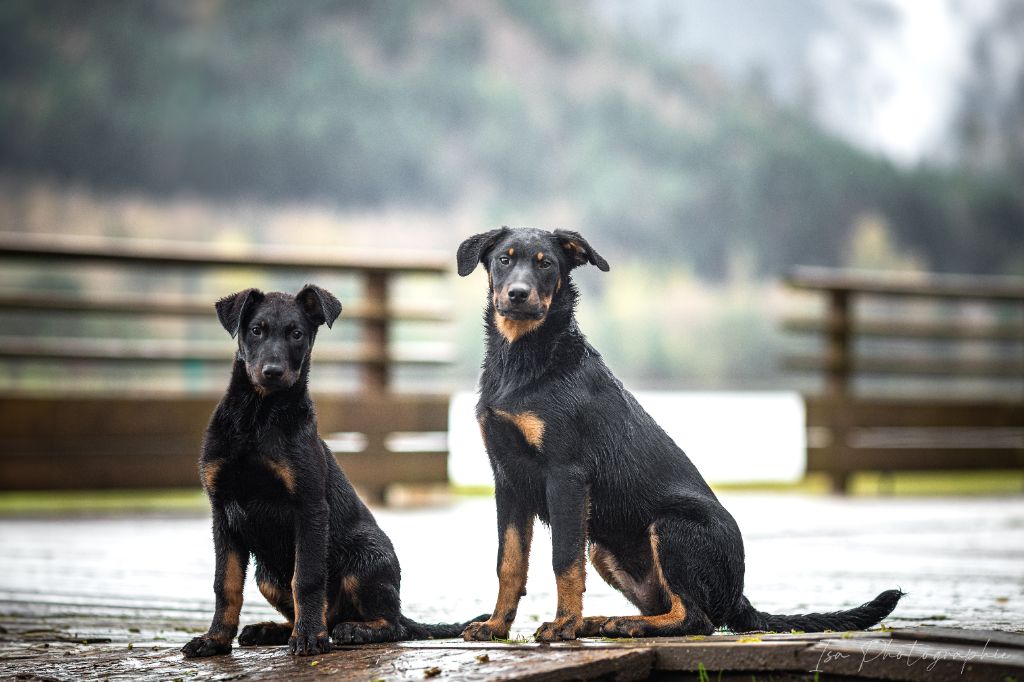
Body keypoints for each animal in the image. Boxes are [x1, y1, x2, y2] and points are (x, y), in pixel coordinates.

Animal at [183, 280, 479, 655]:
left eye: (296, 334)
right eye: (256, 330)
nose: (272, 373)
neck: (258, 416)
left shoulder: (309, 507)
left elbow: (307, 579)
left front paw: (310, 638)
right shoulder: (222, 512)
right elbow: (226, 584)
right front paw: (215, 640)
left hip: (365, 558)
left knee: (391, 624)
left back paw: (352, 630)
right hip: (267, 577)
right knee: (319, 612)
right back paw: (272, 630)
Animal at [458, 227, 905, 638]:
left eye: (546, 264)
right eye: (503, 260)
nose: (517, 294)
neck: (524, 361)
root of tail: (737, 596)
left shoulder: (565, 474)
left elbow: (563, 560)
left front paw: (563, 625)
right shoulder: (507, 478)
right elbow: (509, 562)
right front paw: (495, 626)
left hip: (671, 527)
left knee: (696, 618)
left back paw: (616, 623)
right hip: (603, 547)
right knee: (670, 606)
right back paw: (604, 621)